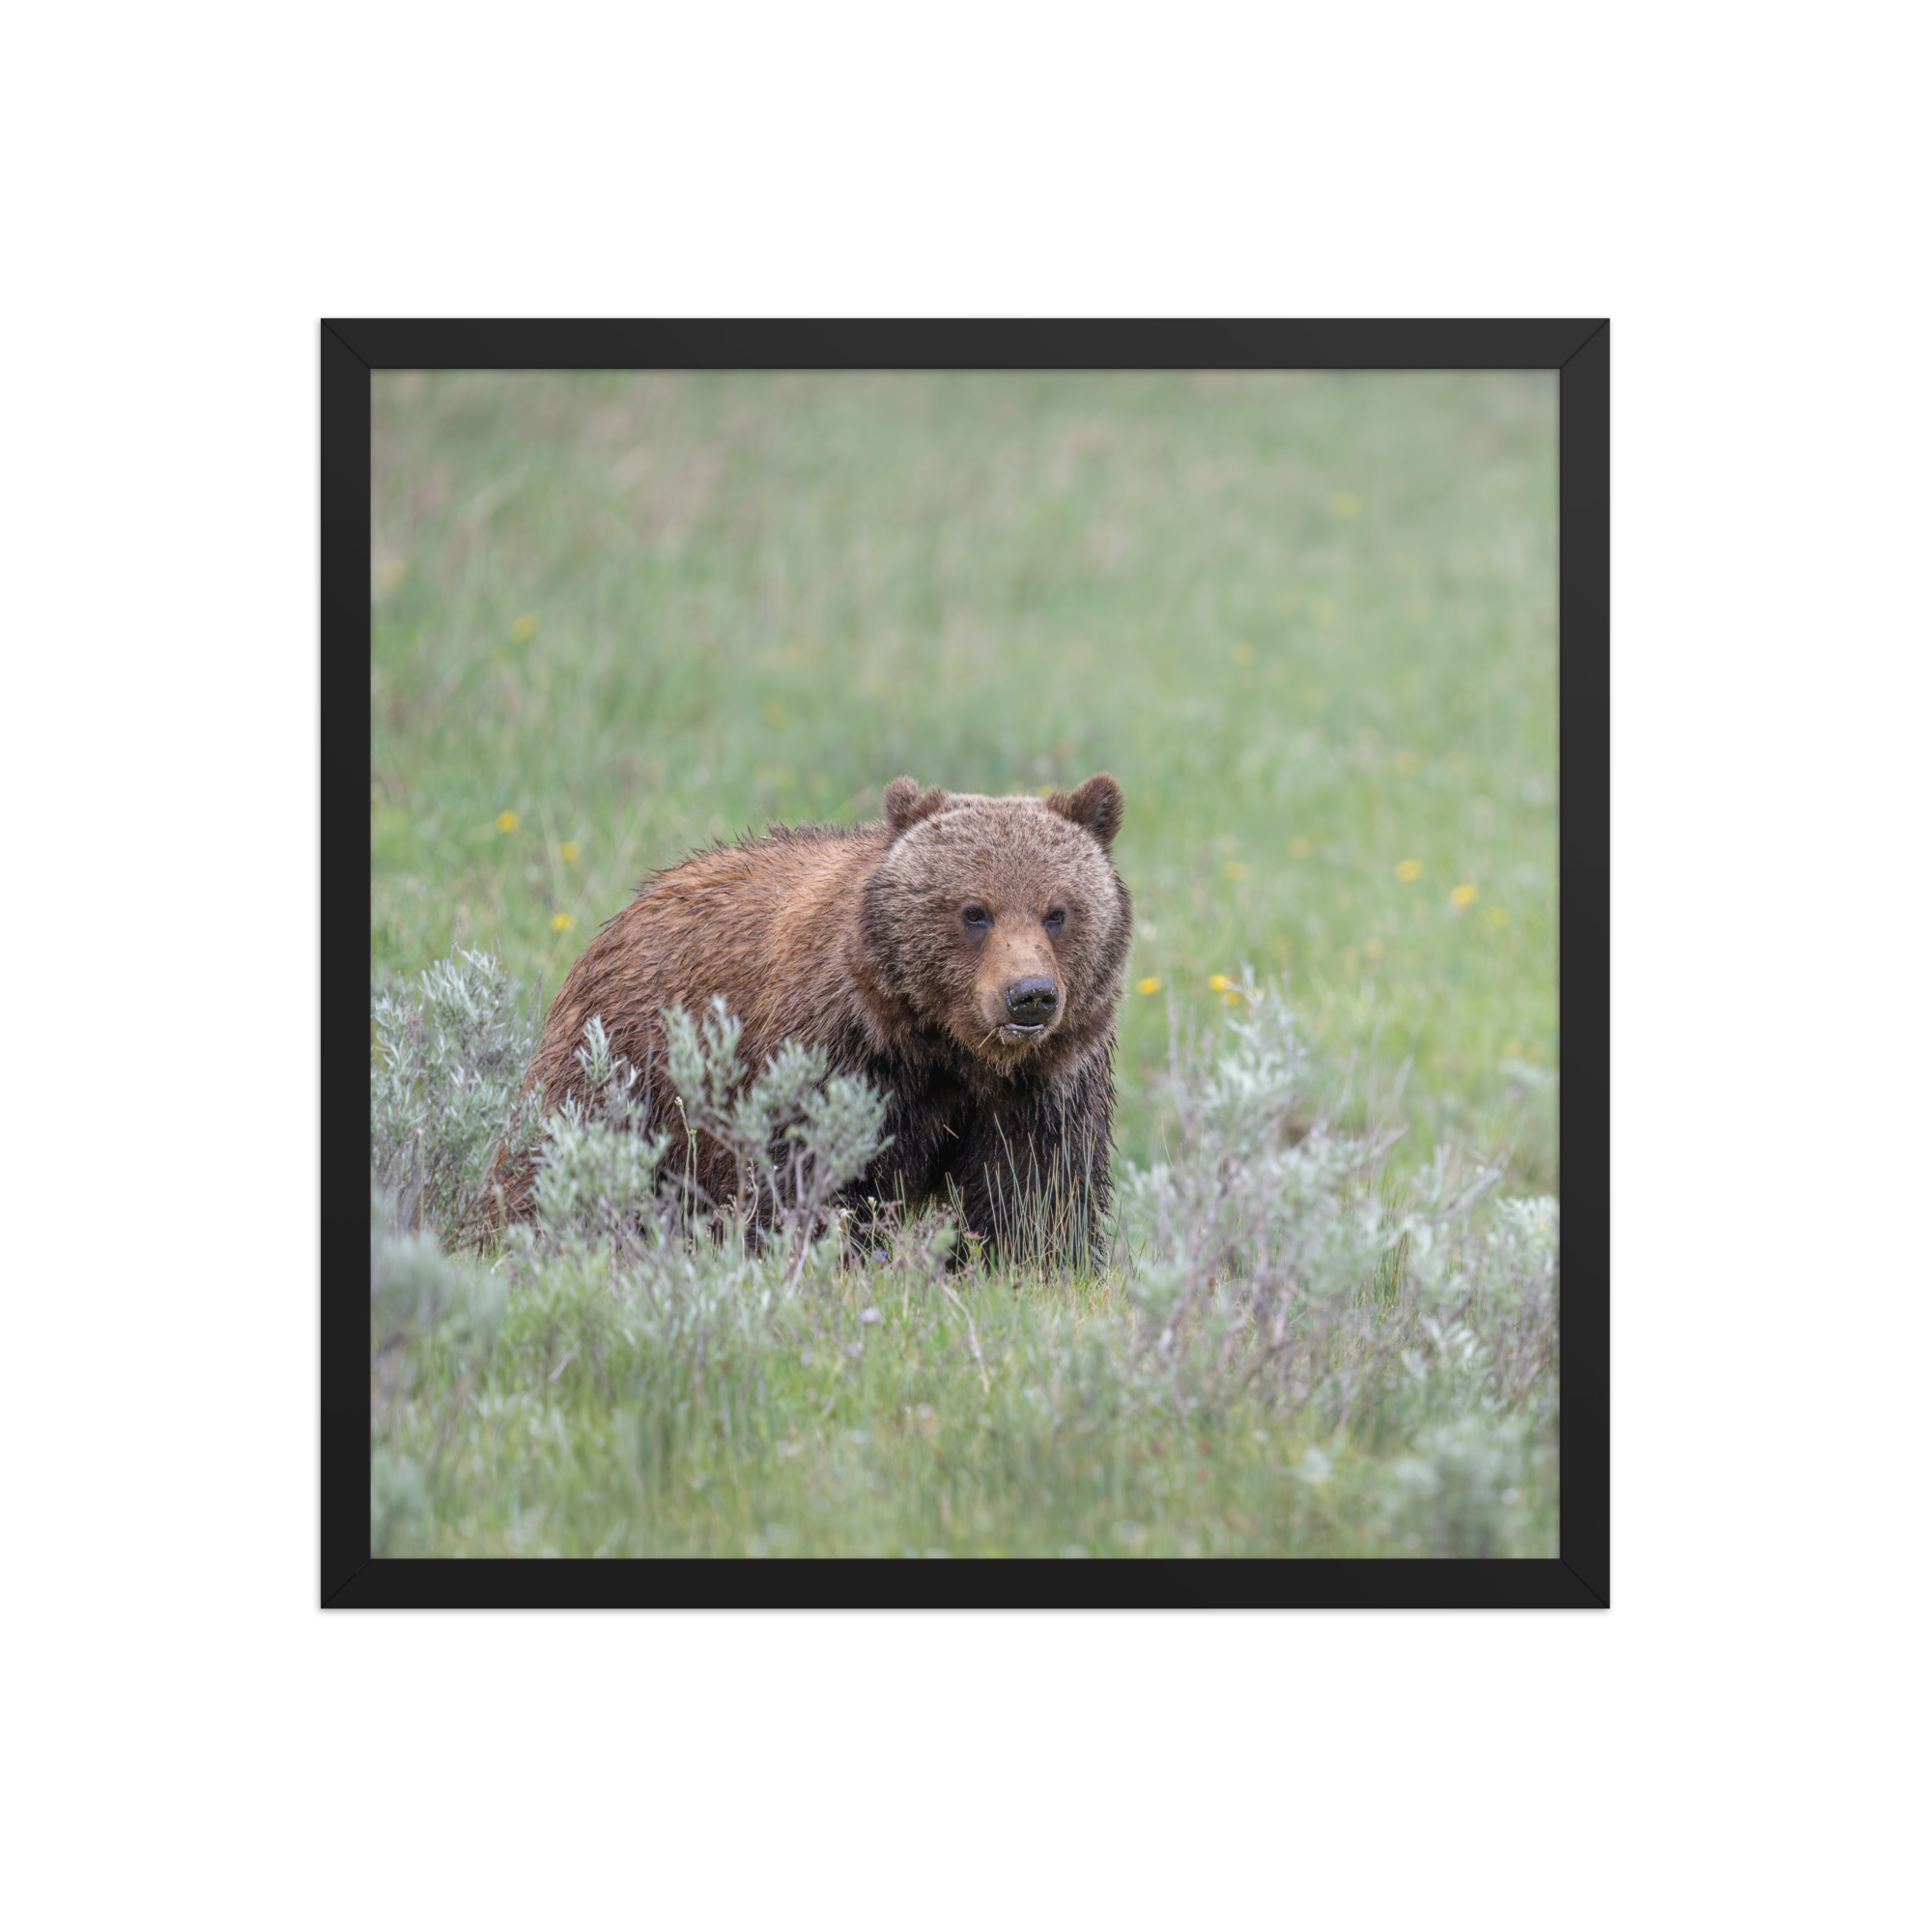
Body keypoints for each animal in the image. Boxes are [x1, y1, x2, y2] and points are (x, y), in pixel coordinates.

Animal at [512, 773, 1132, 1262]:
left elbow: (1036, 1192)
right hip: (627, 1064)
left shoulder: (1044, 1084)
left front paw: (1029, 1263)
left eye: (1057, 912)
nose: (1029, 995)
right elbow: (810, 1175)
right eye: (974, 912)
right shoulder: (839, 1054)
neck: (948, 1048)